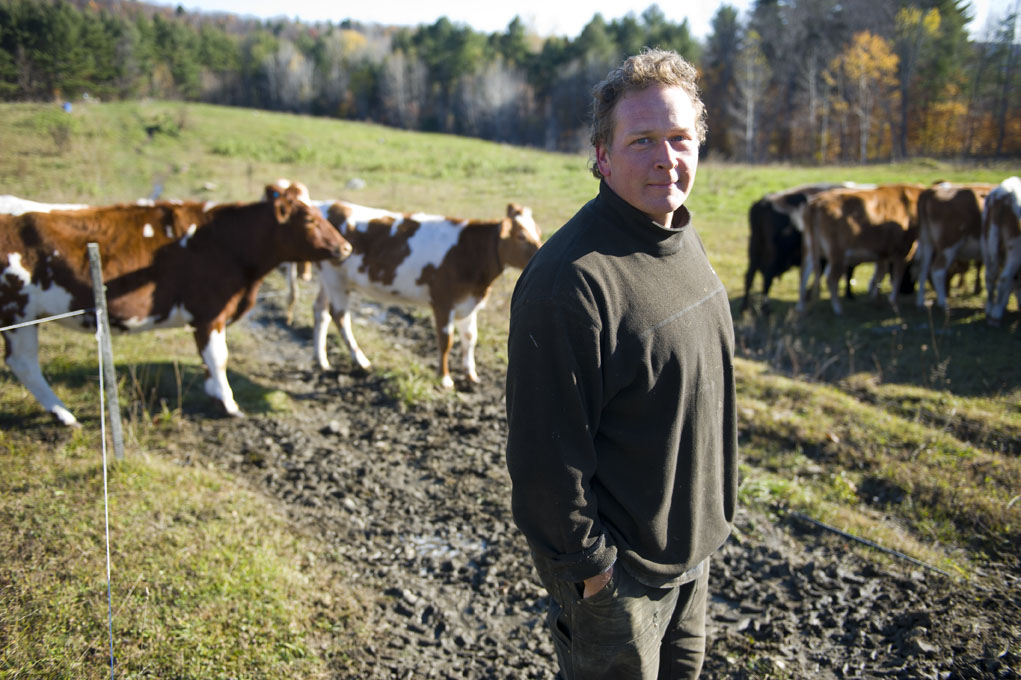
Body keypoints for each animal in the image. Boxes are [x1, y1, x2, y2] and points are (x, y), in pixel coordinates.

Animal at [0, 179, 351, 424]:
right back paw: (63, 414)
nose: (345, 247)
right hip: (18, 310)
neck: (228, 241)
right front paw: (228, 403)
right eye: (309, 220)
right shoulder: (210, 313)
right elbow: (218, 357)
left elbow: (209, 359)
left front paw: (214, 394)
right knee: (25, 363)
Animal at [310, 197, 543, 385]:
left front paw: (471, 374)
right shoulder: (442, 301)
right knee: (340, 316)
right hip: (336, 280)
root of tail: (324, 204)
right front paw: (445, 378)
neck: (468, 253)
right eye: (521, 236)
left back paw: (321, 360)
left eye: (539, 232)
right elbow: (446, 341)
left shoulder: (468, 303)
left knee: (320, 310)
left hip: (327, 280)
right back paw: (360, 360)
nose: (539, 252)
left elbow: (470, 338)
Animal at [800, 182, 931, 314]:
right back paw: (838, 309)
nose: (908, 291)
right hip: (837, 252)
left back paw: (801, 306)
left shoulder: (882, 253)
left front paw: (876, 299)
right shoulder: (903, 251)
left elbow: (880, 274)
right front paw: (894, 304)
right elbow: (896, 277)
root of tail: (816, 203)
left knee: (806, 272)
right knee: (830, 278)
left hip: (813, 250)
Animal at [980, 173, 1021, 324]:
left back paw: (990, 307)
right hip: (1015, 247)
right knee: (1004, 277)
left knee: (990, 275)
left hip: (986, 243)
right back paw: (996, 314)